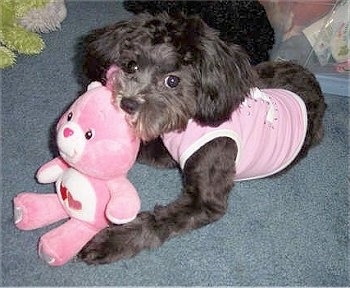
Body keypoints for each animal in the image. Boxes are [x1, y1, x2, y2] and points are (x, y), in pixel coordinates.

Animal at [78, 12, 326, 264]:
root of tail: (314, 81)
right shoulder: (168, 152)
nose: (127, 103)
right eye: (131, 65)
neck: (192, 120)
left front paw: (111, 241)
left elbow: (155, 222)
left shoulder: (205, 201)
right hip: (260, 72)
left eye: (172, 80)